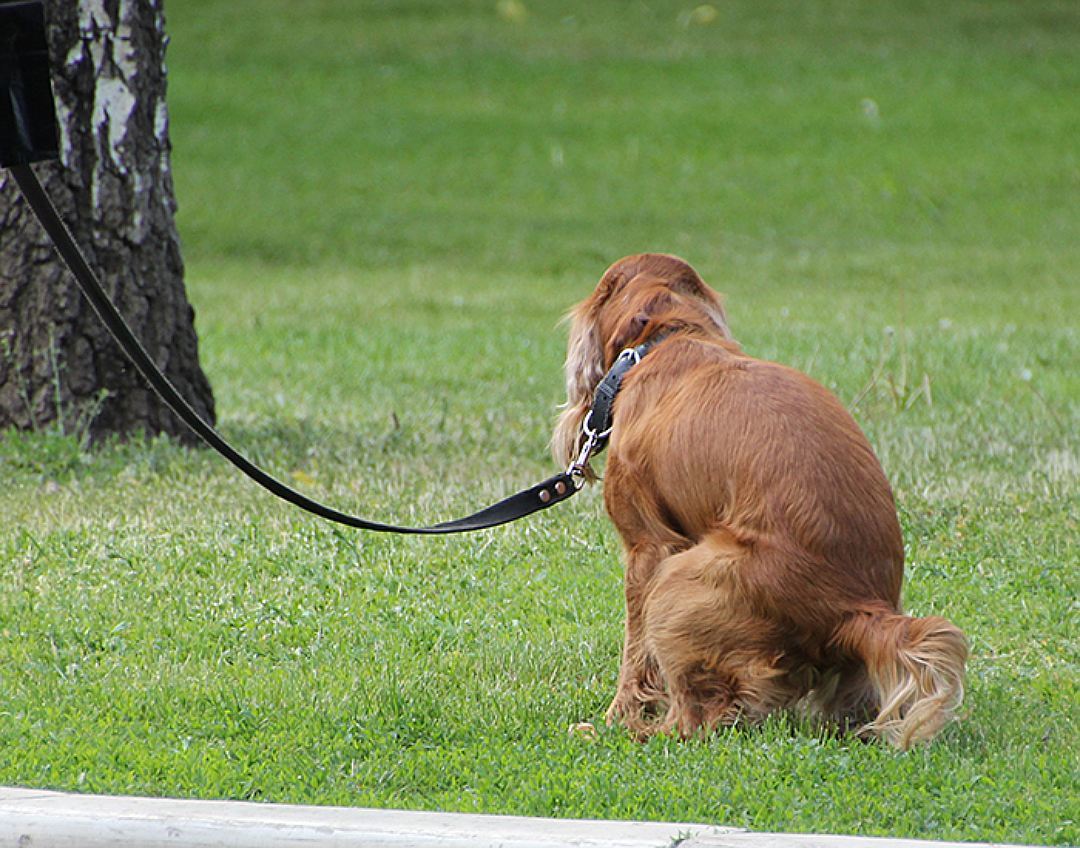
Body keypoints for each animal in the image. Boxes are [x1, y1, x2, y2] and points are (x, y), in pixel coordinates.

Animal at [552, 252, 967, 747]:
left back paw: (626, 732)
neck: (672, 335)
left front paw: (617, 715)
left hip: (678, 579)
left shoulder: (648, 547)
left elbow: (635, 654)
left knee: (696, 720)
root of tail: (854, 610)